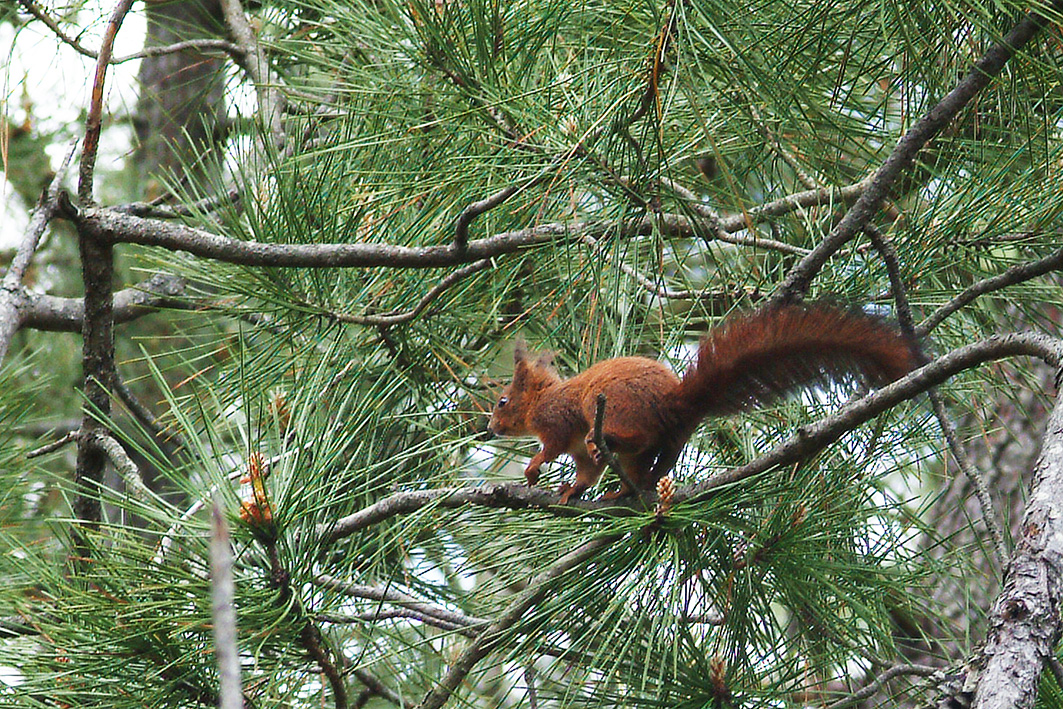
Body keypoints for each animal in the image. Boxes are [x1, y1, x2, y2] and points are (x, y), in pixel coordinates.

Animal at [486, 301, 914, 508]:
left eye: (503, 401)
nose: (489, 429)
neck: (542, 397)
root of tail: (674, 404)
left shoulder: (557, 421)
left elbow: (553, 446)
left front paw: (533, 468)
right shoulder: (577, 452)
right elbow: (587, 473)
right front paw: (570, 489)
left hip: (609, 405)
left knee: (629, 438)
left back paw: (607, 441)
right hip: (653, 447)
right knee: (645, 470)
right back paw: (621, 492)